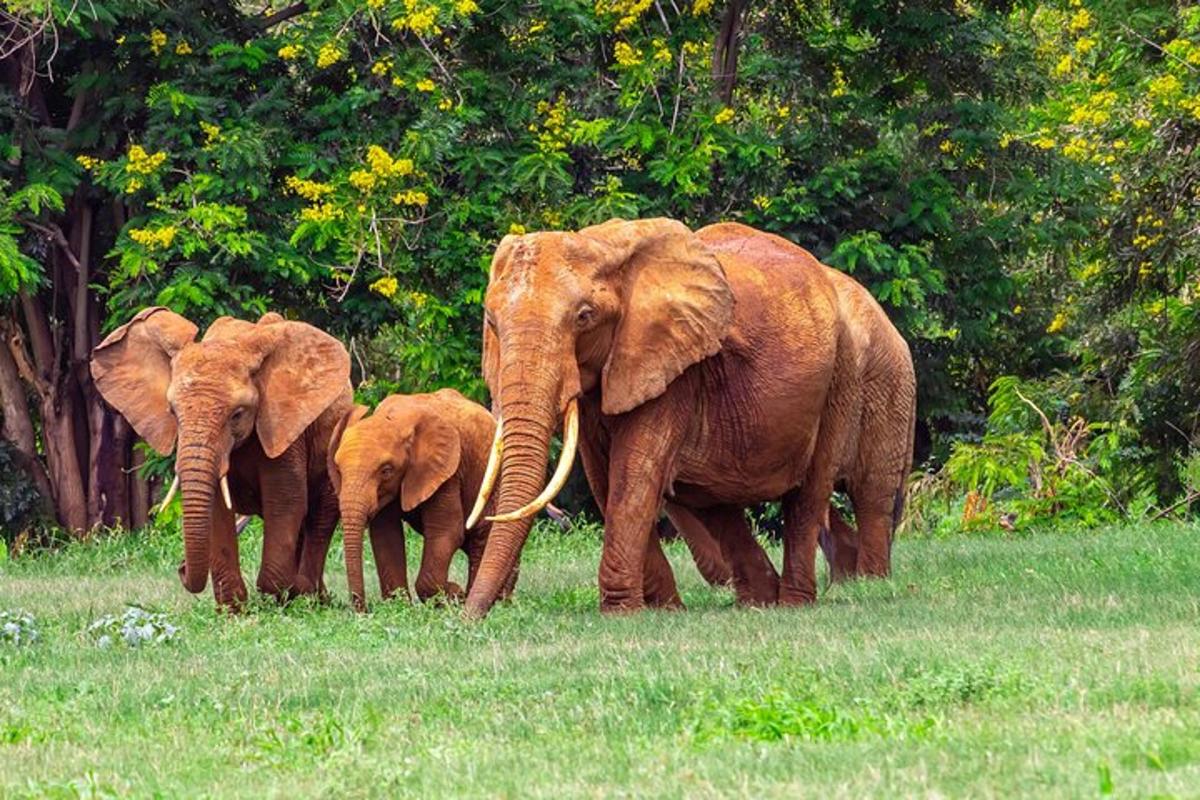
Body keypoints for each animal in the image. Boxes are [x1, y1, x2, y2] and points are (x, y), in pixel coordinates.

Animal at [328, 388, 516, 614]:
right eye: (338, 470)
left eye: (386, 470)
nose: (363, 611)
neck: (396, 420)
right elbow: (386, 535)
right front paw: (399, 606)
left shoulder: (448, 472)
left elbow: (446, 532)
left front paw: (454, 595)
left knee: (483, 537)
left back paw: (493, 602)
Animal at [463, 219, 912, 618]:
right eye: (491, 322)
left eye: (584, 317)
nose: (469, 617)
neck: (603, 244)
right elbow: (604, 478)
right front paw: (663, 610)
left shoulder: (675, 370)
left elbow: (634, 478)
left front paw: (621, 613)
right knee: (716, 503)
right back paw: (759, 600)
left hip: (847, 376)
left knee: (827, 493)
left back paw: (816, 598)